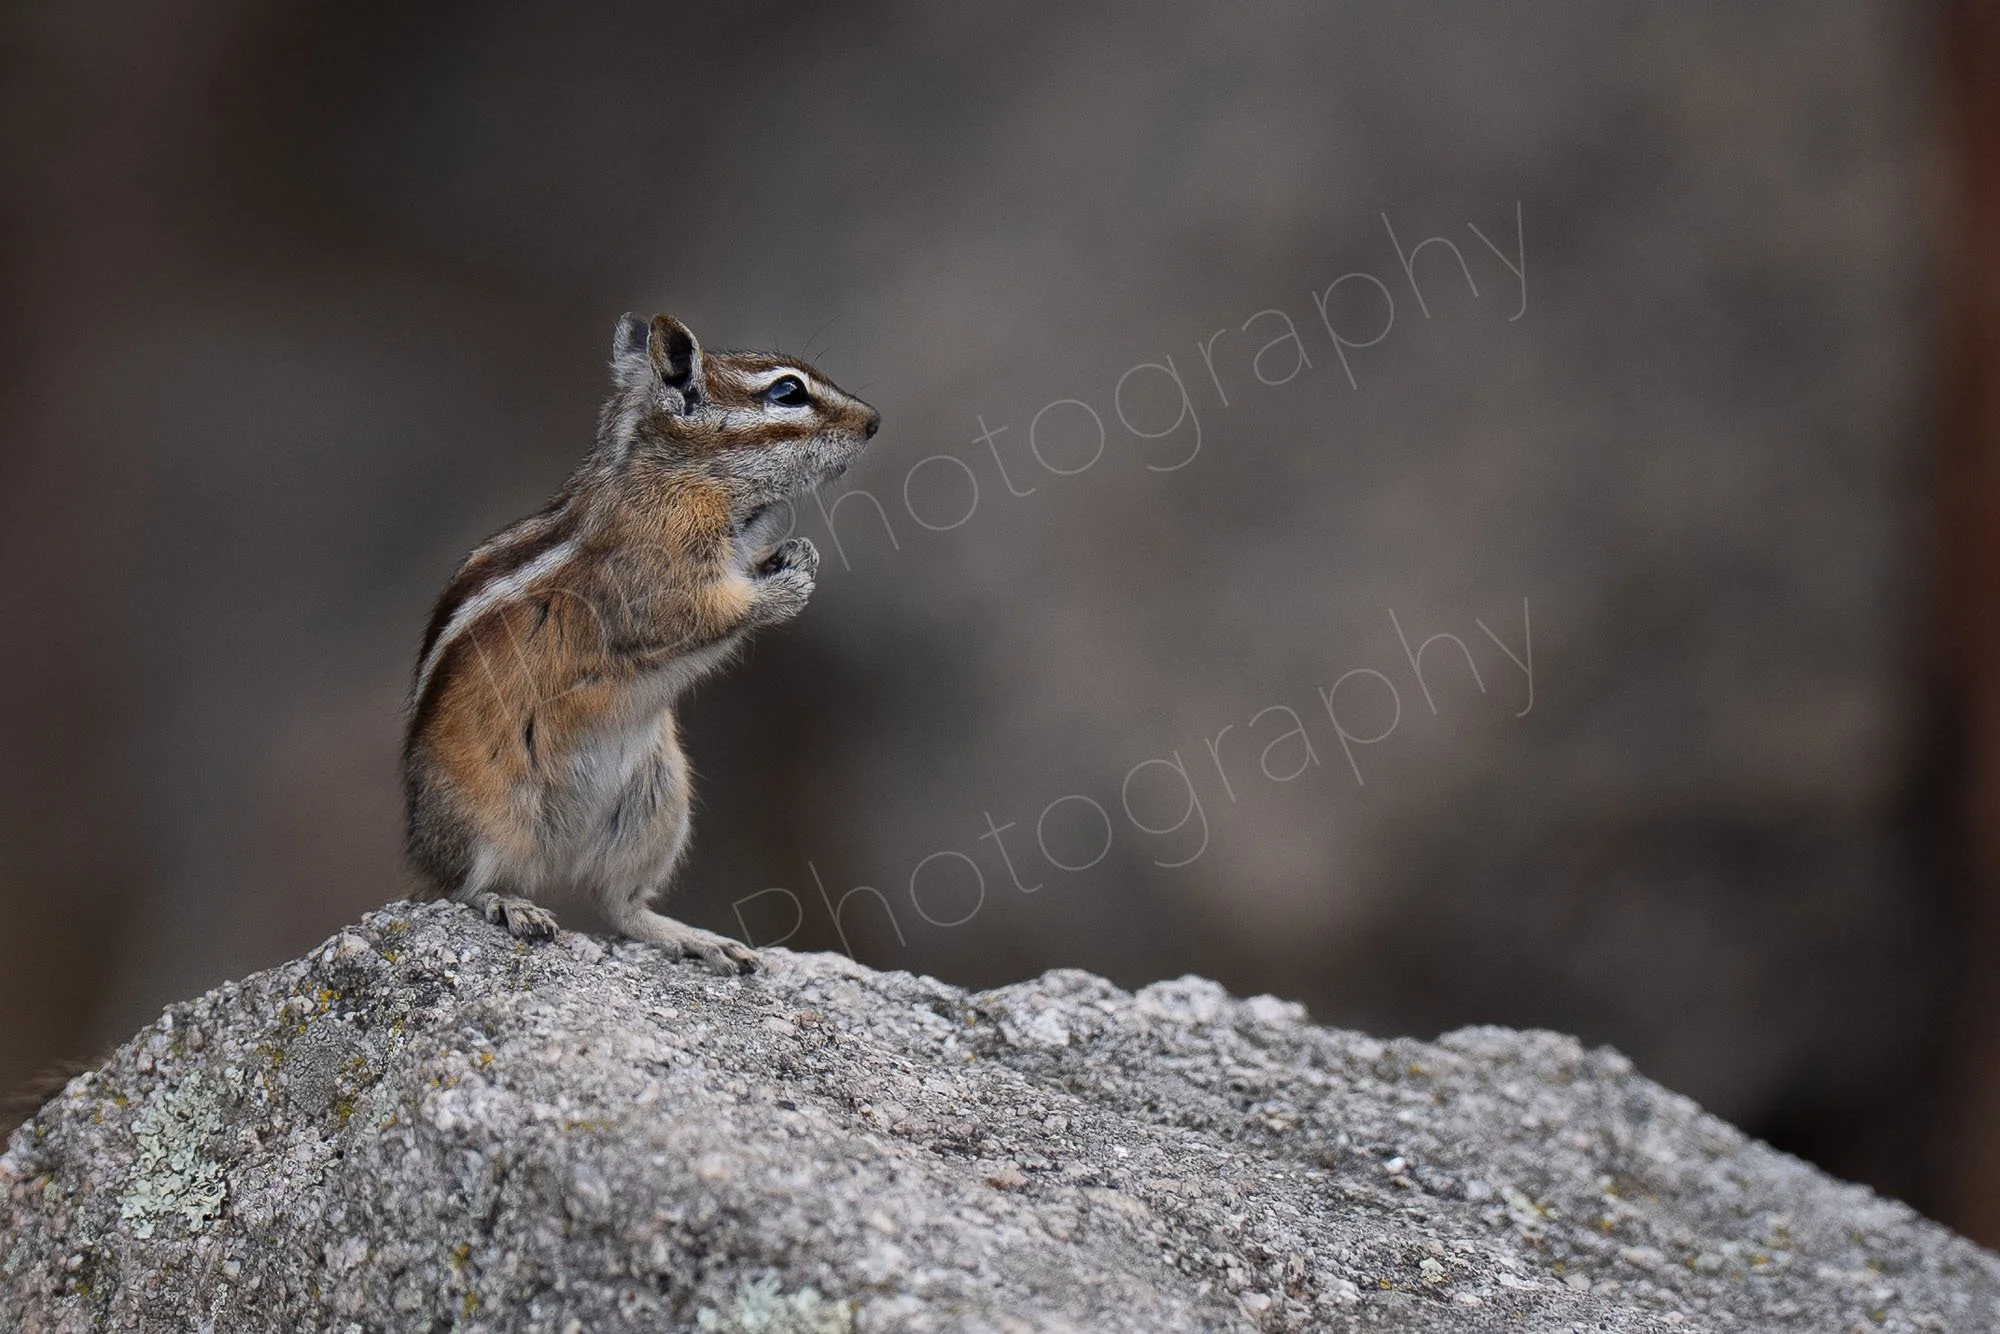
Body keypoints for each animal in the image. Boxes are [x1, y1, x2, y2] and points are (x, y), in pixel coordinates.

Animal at [402, 313, 880, 974]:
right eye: (787, 392)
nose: (874, 422)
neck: (682, 473)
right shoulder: (661, 580)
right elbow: (704, 613)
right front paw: (789, 586)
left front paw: (799, 552)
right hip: (488, 814)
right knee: (463, 887)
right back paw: (510, 904)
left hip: (658, 803)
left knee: (620, 905)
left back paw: (699, 940)